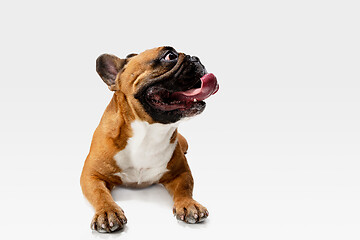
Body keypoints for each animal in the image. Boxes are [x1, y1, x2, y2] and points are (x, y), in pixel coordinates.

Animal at [80, 46, 218, 232]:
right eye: (170, 56)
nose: (196, 58)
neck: (149, 132)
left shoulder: (181, 172)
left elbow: (184, 188)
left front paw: (189, 204)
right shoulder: (91, 175)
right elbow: (99, 193)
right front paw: (108, 211)